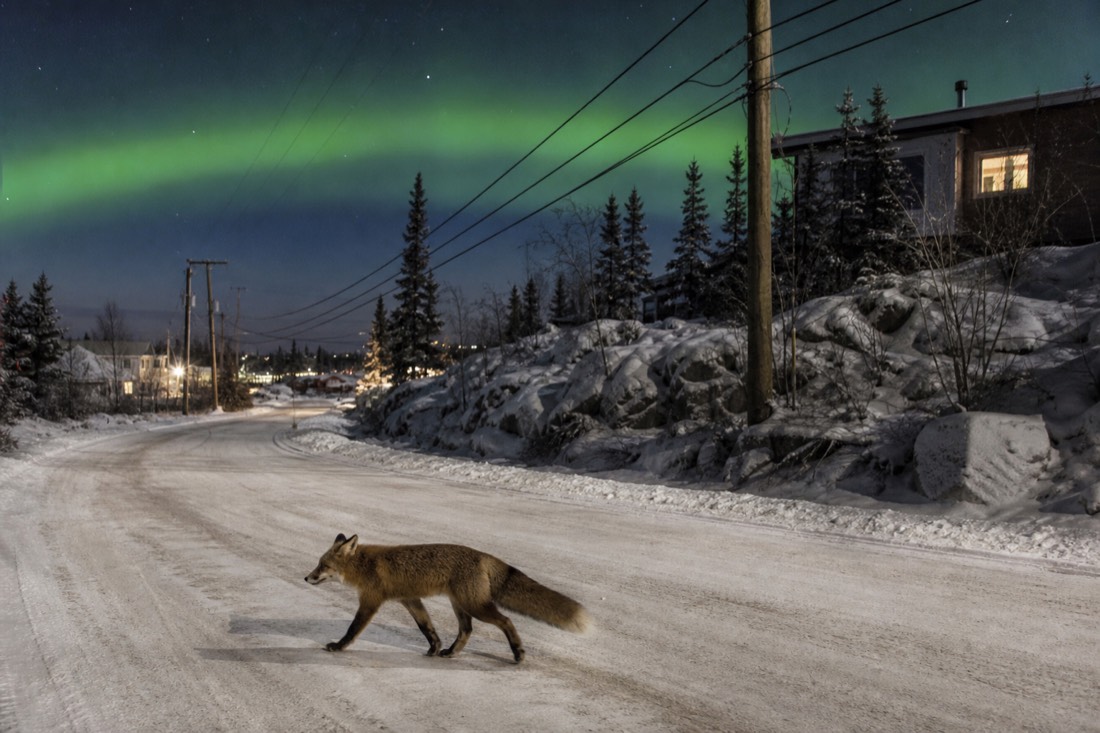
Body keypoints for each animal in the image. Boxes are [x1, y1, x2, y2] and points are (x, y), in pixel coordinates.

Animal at [304, 533, 590, 663]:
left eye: (323, 565)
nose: (306, 578)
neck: (365, 565)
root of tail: (483, 555)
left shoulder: (371, 601)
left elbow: (352, 629)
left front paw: (338, 647)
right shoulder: (411, 600)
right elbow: (427, 628)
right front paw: (433, 648)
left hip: (475, 606)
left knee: (506, 621)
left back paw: (518, 653)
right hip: (460, 605)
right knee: (466, 630)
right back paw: (450, 652)